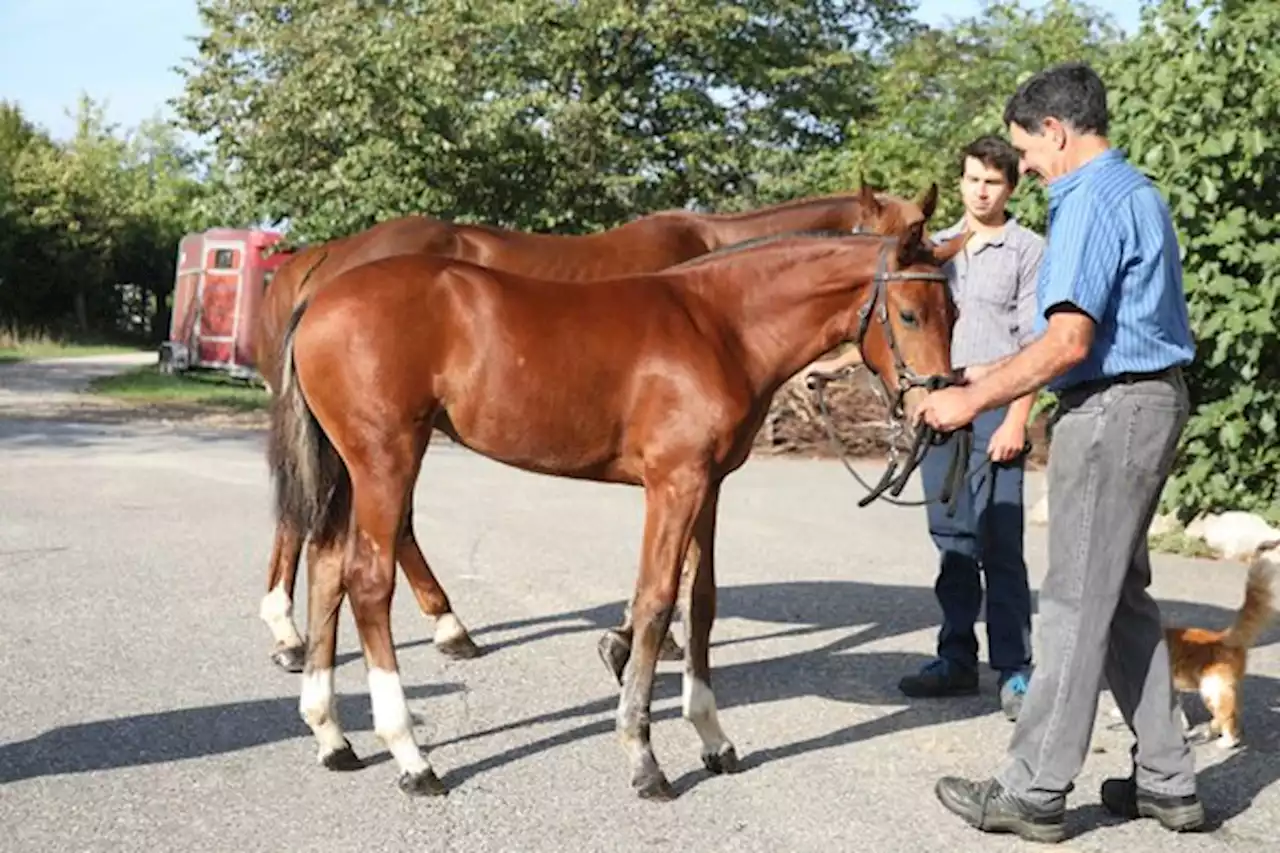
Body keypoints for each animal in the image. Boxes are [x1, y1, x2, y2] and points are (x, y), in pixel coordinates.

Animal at [272, 222, 967, 794]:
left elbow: (701, 602)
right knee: (367, 581)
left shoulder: (708, 486)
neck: (719, 327)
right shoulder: (673, 484)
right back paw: (412, 757)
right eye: (908, 314)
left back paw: (332, 735)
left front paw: (713, 739)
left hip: (349, 470)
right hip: (385, 461)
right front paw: (643, 756)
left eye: (954, 311)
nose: (934, 412)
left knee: (327, 565)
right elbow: (656, 602)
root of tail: (319, 300)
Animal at [1167, 537, 1274, 742]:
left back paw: (1226, 741)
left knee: (1228, 714)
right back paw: (1211, 731)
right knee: (1232, 712)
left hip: (1212, 687)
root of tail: (1224, 636)